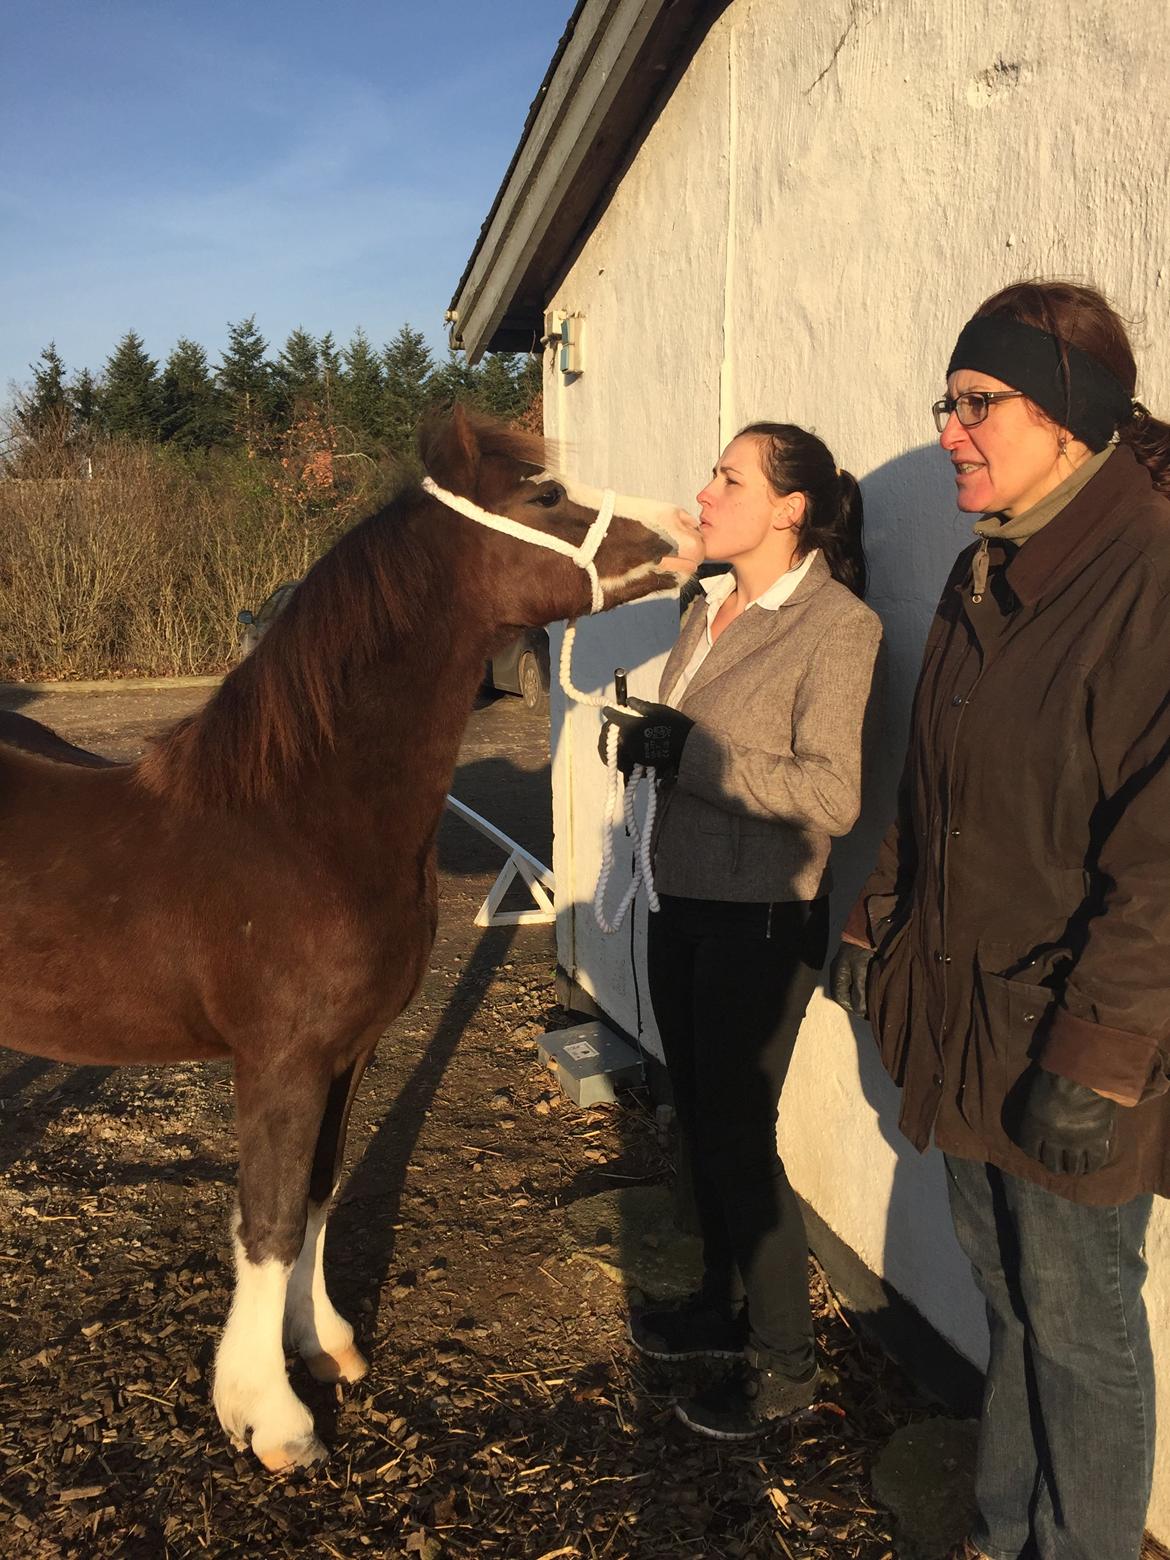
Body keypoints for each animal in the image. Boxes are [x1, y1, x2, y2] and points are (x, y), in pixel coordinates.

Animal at [0, 405, 702, 1472]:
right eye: (545, 496)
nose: (692, 527)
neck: (301, 819)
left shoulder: (349, 1052)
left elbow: (320, 1192)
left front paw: (323, 1344)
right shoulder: (280, 1061)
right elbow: (270, 1217)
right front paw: (269, 1415)